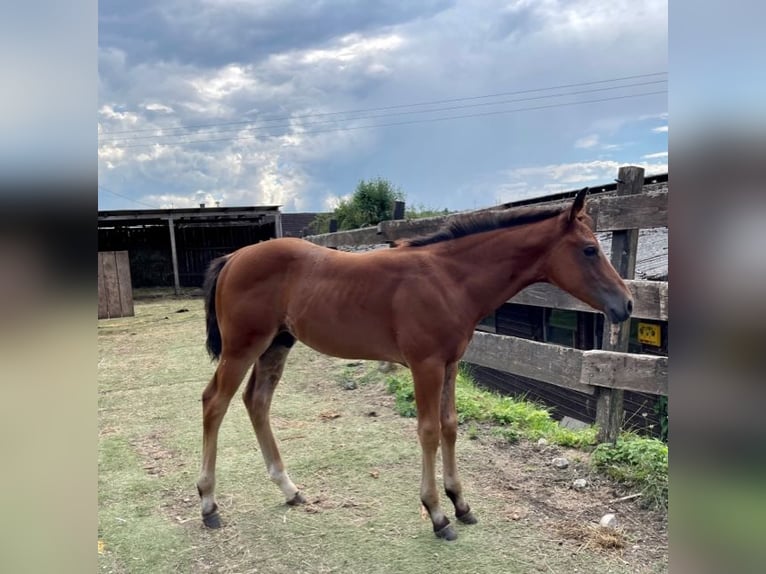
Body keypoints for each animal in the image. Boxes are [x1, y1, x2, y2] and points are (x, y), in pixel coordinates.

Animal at [198, 188, 636, 540]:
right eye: (590, 249)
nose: (627, 304)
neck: (449, 279)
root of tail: (234, 257)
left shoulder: (450, 364)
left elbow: (450, 426)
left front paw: (461, 504)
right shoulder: (425, 365)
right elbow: (428, 431)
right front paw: (437, 515)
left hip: (276, 344)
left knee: (257, 401)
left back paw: (289, 489)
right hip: (243, 347)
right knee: (214, 402)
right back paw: (208, 504)